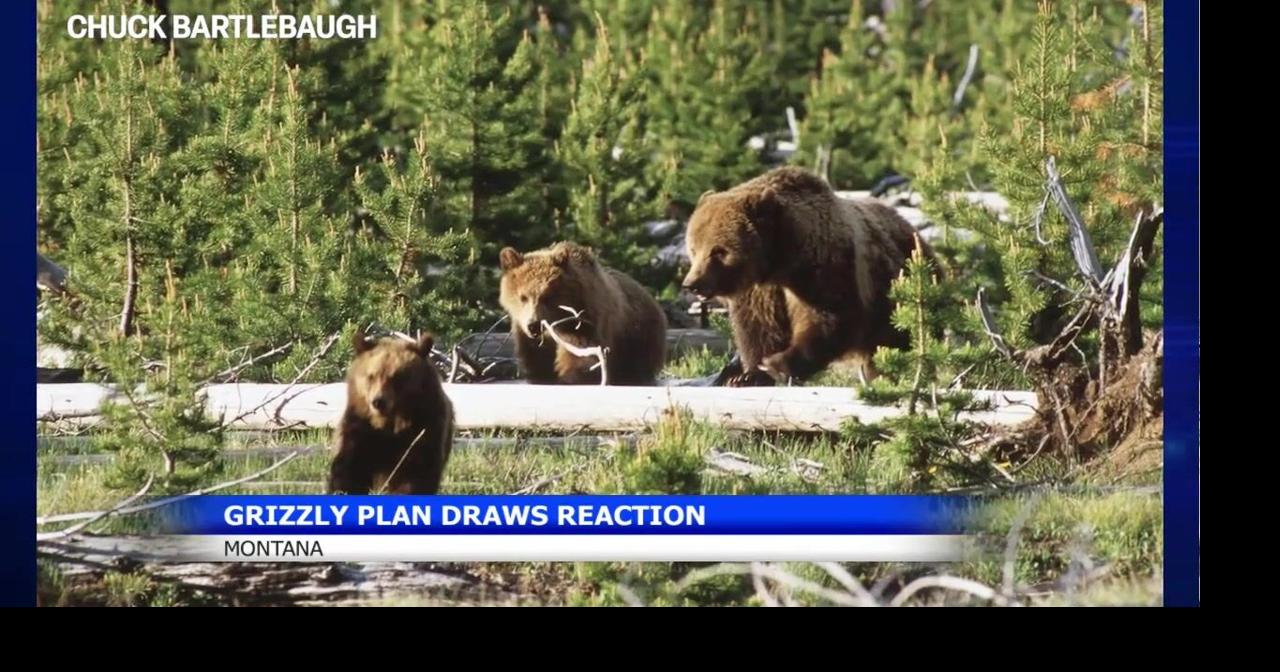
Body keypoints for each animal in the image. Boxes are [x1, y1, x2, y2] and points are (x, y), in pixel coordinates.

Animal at [327, 329, 454, 495]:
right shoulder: (360, 428)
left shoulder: (423, 430)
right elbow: (348, 469)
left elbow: (415, 474)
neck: (388, 424)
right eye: (371, 376)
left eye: (397, 377)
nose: (378, 401)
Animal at [498, 241, 667, 385]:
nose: (533, 325)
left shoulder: (584, 321)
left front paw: (570, 377)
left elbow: (582, 355)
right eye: (523, 297)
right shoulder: (526, 333)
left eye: (547, 296)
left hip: (638, 335)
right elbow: (535, 356)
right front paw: (541, 376)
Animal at [681, 166, 934, 386]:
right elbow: (758, 330)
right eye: (694, 248)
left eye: (719, 251)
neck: (777, 264)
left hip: (900, 295)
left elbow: (828, 317)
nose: (692, 284)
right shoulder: (760, 292)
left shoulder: (822, 267)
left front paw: (776, 365)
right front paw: (746, 375)